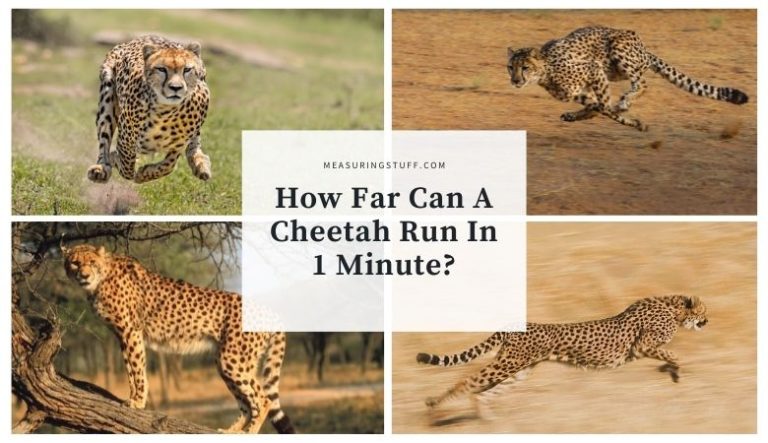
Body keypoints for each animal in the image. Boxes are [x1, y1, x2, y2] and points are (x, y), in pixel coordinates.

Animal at [61, 243, 295, 434]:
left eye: (92, 262)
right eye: (75, 263)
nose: (84, 275)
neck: (101, 278)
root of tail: (269, 310)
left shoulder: (131, 330)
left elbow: (137, 369)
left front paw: (138, 401)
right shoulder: (121, 335)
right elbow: (130, 369)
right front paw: (133, 398)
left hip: (233, 360)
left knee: (263, 400)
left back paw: (247, 433)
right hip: (226, 361)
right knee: (246, 403)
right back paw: (231, 432)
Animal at [87, 35, 212, 184]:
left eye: (187, 69)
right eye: (161, 69)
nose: (176, 88)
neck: (167, 112)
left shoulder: (178, 145)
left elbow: (168, 165)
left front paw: (144, 174)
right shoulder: (126, 138)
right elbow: (126, 166)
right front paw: (115, 159)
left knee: (195, 143)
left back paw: (201, 164)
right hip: (107, 94)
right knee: (104, 138)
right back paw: (101, 169)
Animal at [416, 295, 707, 416]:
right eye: (704, 310)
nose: (708, 321)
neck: (673, 309)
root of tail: (515, 325)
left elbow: (671, 356)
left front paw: (670, 372)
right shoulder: (644, 345)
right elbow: (674, 354)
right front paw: (673, 371)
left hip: (517, 372)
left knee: (483, 394)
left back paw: (489, 421)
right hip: (507, 365)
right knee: (467, 382)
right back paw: (433, 405)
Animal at [507, 26, 749, 131]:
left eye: (525, 67)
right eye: (510, 67)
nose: (515, 81)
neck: (546, 71)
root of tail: (643, 47)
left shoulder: (594, 69)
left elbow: (604, 106)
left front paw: (625, 114)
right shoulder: (581, 91)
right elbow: (596, 107)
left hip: (619, 50)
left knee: (643, 83)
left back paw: (625, 101)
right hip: (614, 71)